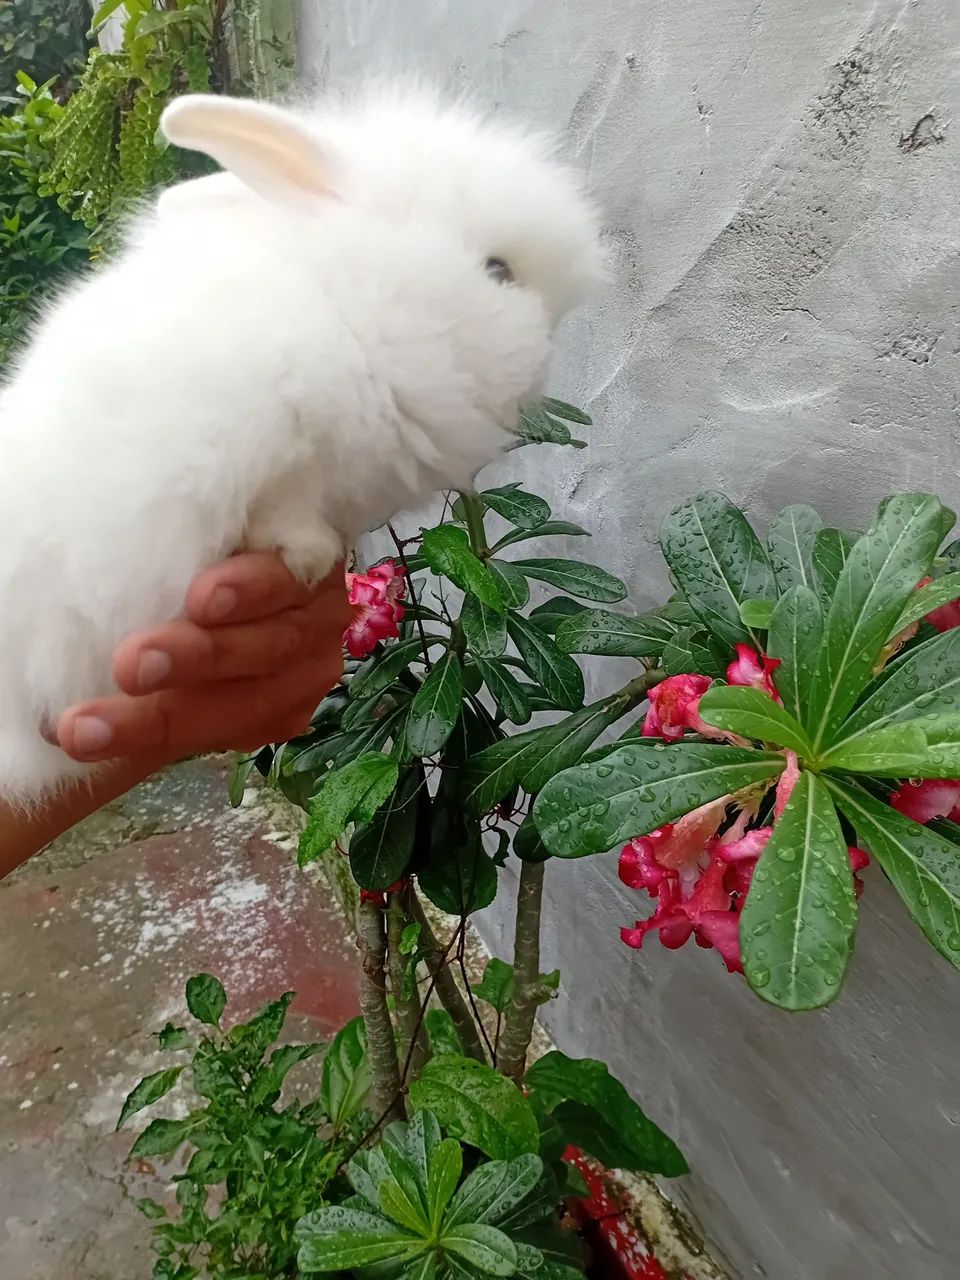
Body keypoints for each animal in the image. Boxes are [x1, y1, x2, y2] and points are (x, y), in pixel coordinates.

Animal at [0, 84, 605, 806]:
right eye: (498, 271)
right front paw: (310, 558)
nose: (545, 353)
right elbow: (280, 507)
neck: (356, 307)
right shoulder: (273, 449)